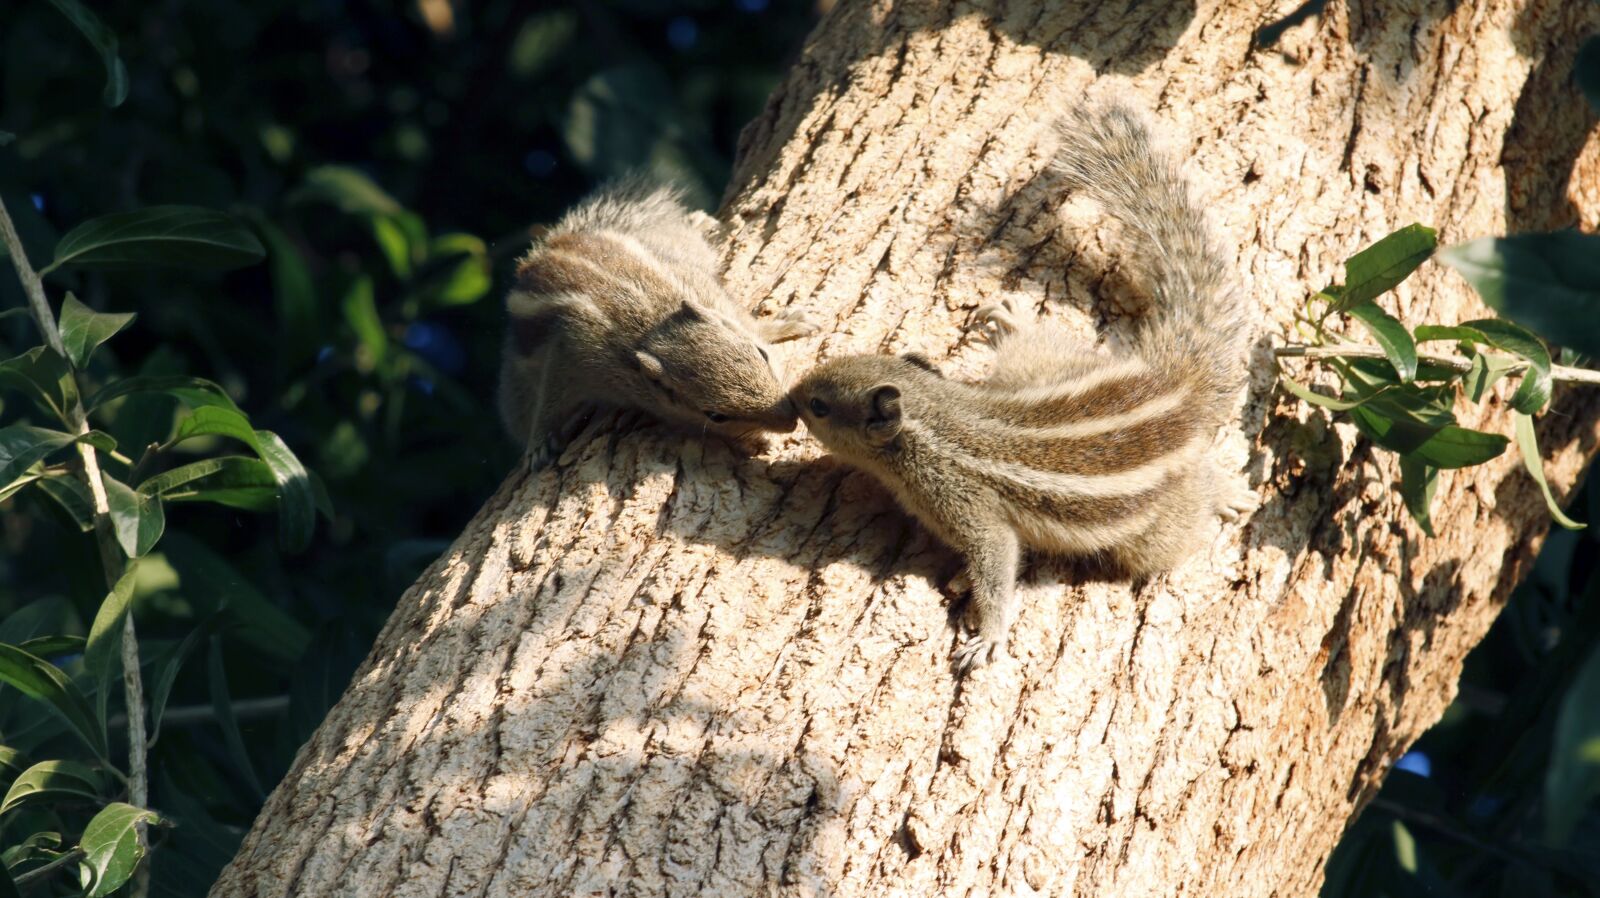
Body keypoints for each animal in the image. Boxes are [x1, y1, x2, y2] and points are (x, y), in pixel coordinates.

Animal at [498, 180, 819, 468]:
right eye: (715, 416)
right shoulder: (574, 348)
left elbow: (746, 319)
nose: (791, 419)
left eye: (761, 354)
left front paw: (783, 325)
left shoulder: (704, 288)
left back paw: (699, 221)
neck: (653, 322)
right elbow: (550, 398)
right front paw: (538, 445)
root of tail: (547, 249)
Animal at [790, 97, 1258, 671]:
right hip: (1044, 369)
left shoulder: (969, 508)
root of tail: (1175, 384)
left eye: (820, 405)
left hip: (1156, 529)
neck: (934, 421)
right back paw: (1011, 321)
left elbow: (997, 562)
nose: (792, 396)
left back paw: (1226, 495)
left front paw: (989, 635)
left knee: (1183, 516)